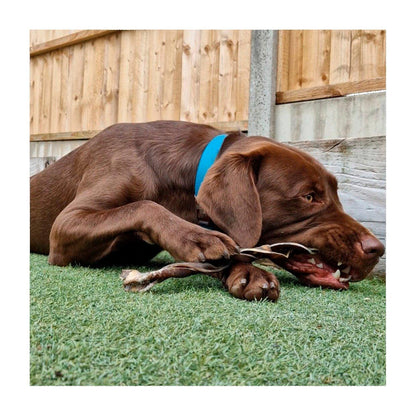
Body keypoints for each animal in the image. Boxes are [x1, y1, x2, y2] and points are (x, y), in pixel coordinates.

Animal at [30, 120, 386, 300]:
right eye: (309, 196)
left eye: (336, 194)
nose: (377, 248)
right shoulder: (65, 227)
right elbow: (145, 205)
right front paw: (199, 239)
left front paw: (245, 270)